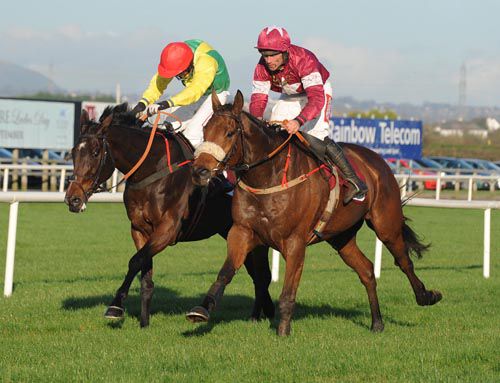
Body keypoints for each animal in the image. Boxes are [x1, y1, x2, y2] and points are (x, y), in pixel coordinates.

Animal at [64, 104, 274, 328]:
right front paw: (144, 323)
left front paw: (115, 306)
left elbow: (135, 261)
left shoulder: (168, 229)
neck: (152, 170)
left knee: (262, 276)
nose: (73, 199)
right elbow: (144, 271)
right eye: (73, 152)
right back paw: (261, 313)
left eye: (95, 153)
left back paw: (260, 316)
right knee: (256, 274)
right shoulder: (139, 229)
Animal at [187, 91, 442, 338]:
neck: (268, 176)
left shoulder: (295, 242)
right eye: (205, 131)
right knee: (367, 271)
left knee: (404, 260)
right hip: (341, 237)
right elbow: (226, 272)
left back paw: (426, 296)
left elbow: (288, 293)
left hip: (386, 224)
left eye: (230, 133)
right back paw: (377, 323)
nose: (199, 171)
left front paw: (283, 332)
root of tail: (378, 160)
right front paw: (201, 310)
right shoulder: (242, 232)